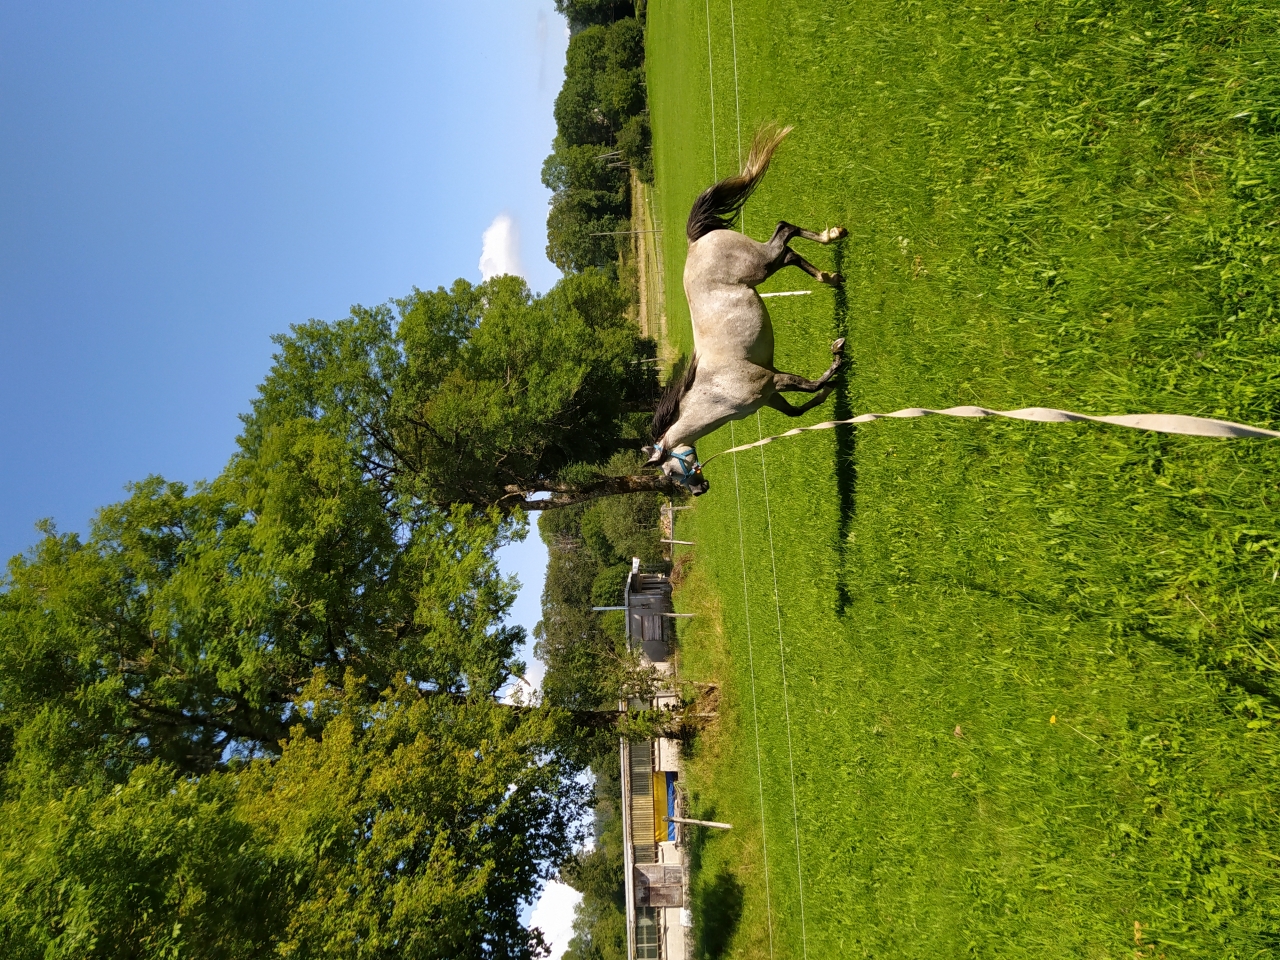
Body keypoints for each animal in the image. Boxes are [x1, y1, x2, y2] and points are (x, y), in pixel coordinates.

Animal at [644, 124, 847, 496]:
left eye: (671, 472)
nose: (698, 491)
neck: (717, 392)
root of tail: (695, 242)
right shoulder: (770, 395)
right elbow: (797, 413)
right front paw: (829, 392)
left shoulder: (772, 379)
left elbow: (810, 385)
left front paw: (838, 361)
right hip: (765, 268)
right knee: (789, 249)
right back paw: (831, 275)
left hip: (761, 265)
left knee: (784, 233)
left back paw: (832, 237)